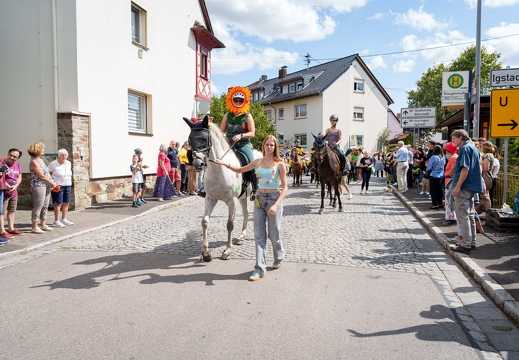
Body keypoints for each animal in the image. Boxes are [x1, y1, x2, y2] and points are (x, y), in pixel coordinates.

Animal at [185, 116, 262, 262]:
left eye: (205, 139)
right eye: (190, 140)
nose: (198, 164)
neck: (218, 169)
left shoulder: (232, 201)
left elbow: (229, 224)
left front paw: (227, 251)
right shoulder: (210, 198)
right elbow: (204, 222)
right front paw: (206, 253)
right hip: (242, 197)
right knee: (246, 213)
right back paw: (241, 237)